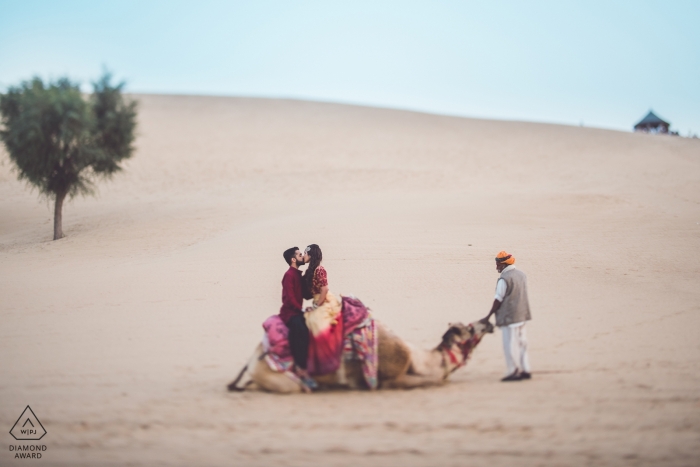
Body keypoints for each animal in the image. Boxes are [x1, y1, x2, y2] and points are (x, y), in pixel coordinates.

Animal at [227, 320, 494, 394]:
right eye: (469, 328)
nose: (488, 323)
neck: (421, 360)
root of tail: (252, 360)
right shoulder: (392, 380)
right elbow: (434, 381)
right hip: (286, 382)